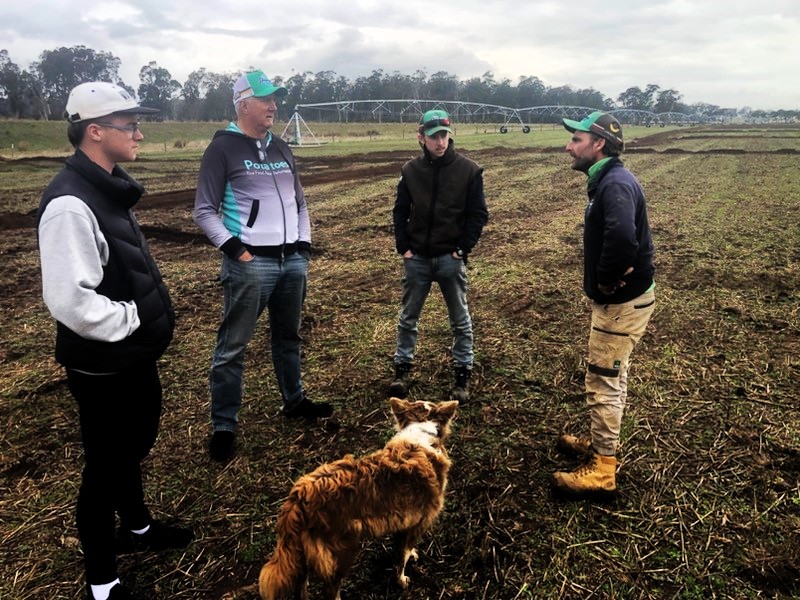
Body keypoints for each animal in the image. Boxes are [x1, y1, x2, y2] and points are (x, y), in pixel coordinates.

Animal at [260, 398, 460, 600]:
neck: (421, 429)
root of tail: (300, 496)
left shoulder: (404, 523)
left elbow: (401, 550)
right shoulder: (420, 522)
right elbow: (403, 555)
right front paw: (402, 579)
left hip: (301, 554)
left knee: (301, 584)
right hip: (342, 552)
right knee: (330, 589)